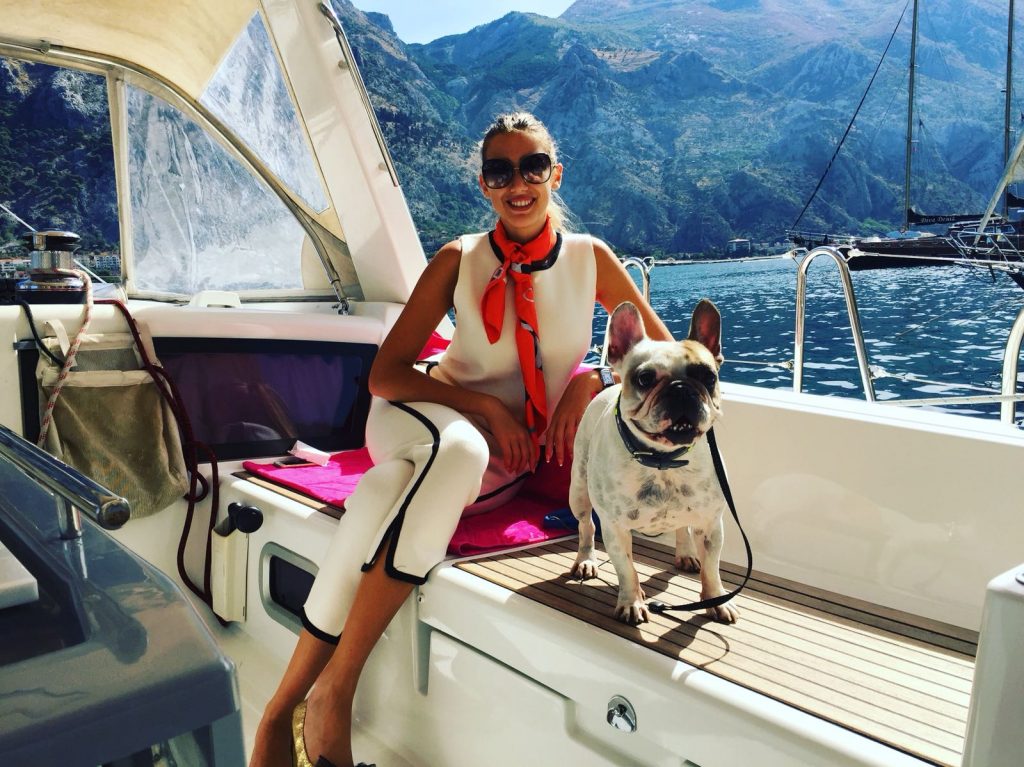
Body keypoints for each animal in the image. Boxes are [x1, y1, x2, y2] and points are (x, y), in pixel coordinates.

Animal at [569, 299, 739, 625]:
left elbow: (712, 568)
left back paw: (686, 553)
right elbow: (627, 570)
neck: (663, 461)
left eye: (709, 377)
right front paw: (632, 602)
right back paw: (586, 560)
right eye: (645, 378)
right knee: (586, 527)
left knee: (682, 527)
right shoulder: (616, 529)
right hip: (579, 493)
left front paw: (716, 598)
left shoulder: (711, 525)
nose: (681, 388)